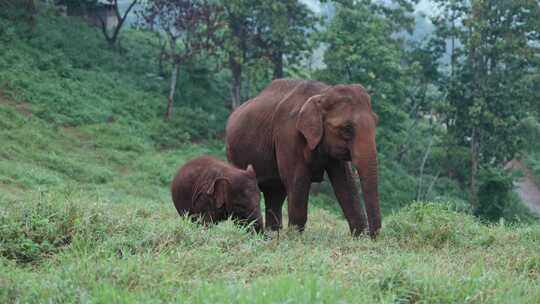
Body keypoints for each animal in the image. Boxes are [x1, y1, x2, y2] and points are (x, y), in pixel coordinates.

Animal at [226, 80, 382, 238]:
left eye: (376, 122)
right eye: (347, 129)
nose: (372, 237)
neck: (322, 93)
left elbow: (345, 183)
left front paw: (359, 237)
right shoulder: (287, 135)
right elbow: (297, 181)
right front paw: (295, 237)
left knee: (275, 193)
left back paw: (272, 235)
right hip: (233, 153)